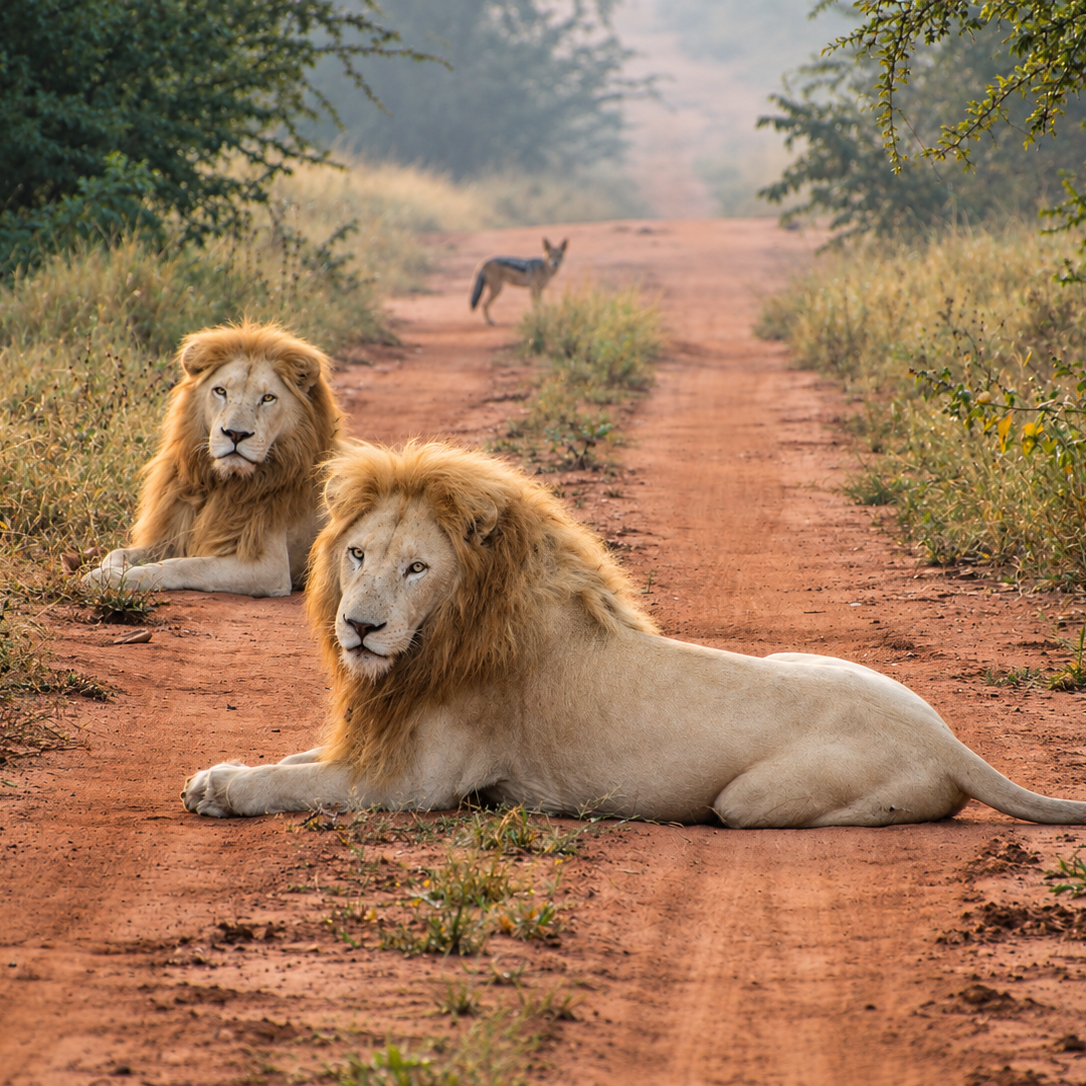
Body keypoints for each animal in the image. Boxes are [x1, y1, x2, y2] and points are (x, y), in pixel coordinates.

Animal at [82, 321, 341, 598]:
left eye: (268, 398)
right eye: (220, 391)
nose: (236, 434)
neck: (218, 484)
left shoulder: (270, 568)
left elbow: (185, 565)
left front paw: (112, 578)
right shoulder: (171, 537)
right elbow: (117, 553)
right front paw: (108, 570)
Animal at [182, 440, 1086, 826]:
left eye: (416, 569)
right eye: (359, 554)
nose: (359, 627)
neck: (441, 638)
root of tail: (948, 739)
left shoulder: (414, 782)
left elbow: (293, 784)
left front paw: (226, 792)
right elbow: (296, 760)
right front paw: (213, 773)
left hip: (750, 802)